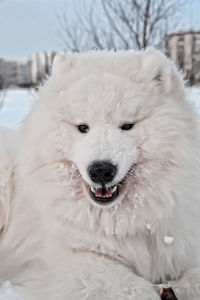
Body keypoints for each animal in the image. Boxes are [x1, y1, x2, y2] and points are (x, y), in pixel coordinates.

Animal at [0, 48, 200, 298]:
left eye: (127, 125)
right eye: (82, 127)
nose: (101, 170)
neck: (122, 221)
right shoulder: (71, 262)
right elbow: (137, 290)